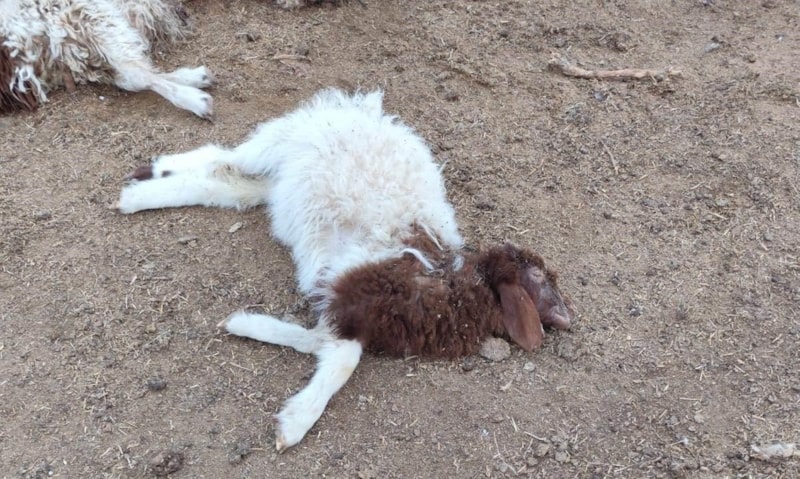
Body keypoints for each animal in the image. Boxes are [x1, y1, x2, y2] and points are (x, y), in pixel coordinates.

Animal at [0, 0, 213, 117]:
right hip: (85, 17)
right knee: (135, 73)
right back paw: (197, 99)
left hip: (75, 46)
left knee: (128, 77)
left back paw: (197, 79)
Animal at [116, 89, 573, 451]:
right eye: (538, 277)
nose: (569, 315)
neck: (450, 283)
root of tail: (362, 108)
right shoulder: (349, 290)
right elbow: (343, 361)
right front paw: (293, 426)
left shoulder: (352, 314)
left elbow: (319, 345)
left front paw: (243, 325)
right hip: (277, 143)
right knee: (221, 156)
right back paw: (148, 173)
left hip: (280, 183)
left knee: (226, 186)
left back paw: (137, 196)